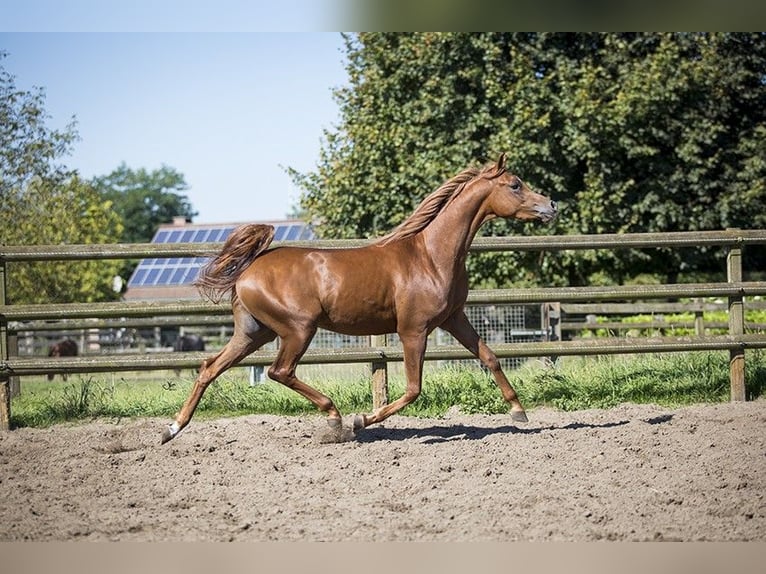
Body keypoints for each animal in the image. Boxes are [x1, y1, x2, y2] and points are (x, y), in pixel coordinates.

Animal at [162, 154, 560, 446]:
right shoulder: (413, 330)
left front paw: (519, 411)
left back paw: (171, 430)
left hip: (253, 332)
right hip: (297, 330)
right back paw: (336, 419)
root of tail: (249, 268)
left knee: (209, 367)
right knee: (279, 371)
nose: (552, 206)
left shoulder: (453, 319)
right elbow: (413, 390)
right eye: (515, 185)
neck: (430, 255)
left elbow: (490, 357)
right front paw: (360, 420)